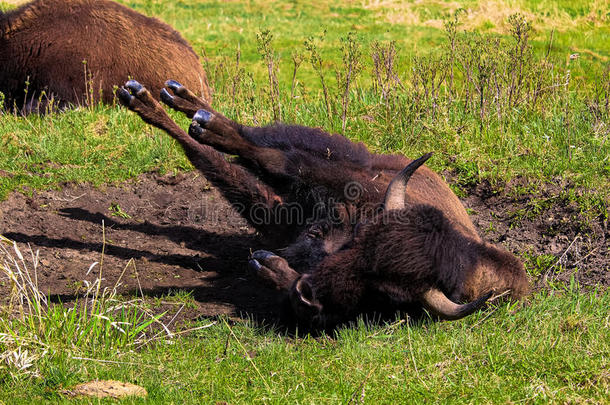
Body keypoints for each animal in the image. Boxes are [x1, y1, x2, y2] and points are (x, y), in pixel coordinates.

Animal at [117, 78, 528, 328]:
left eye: (386, 292)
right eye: (362, 243)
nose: (309, 289)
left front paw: (272, 269)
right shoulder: (325, 185)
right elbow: (274, 160)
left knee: (236, 163)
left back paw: (157, 103)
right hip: (335, 158)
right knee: (263, 143)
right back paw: (182, 105)